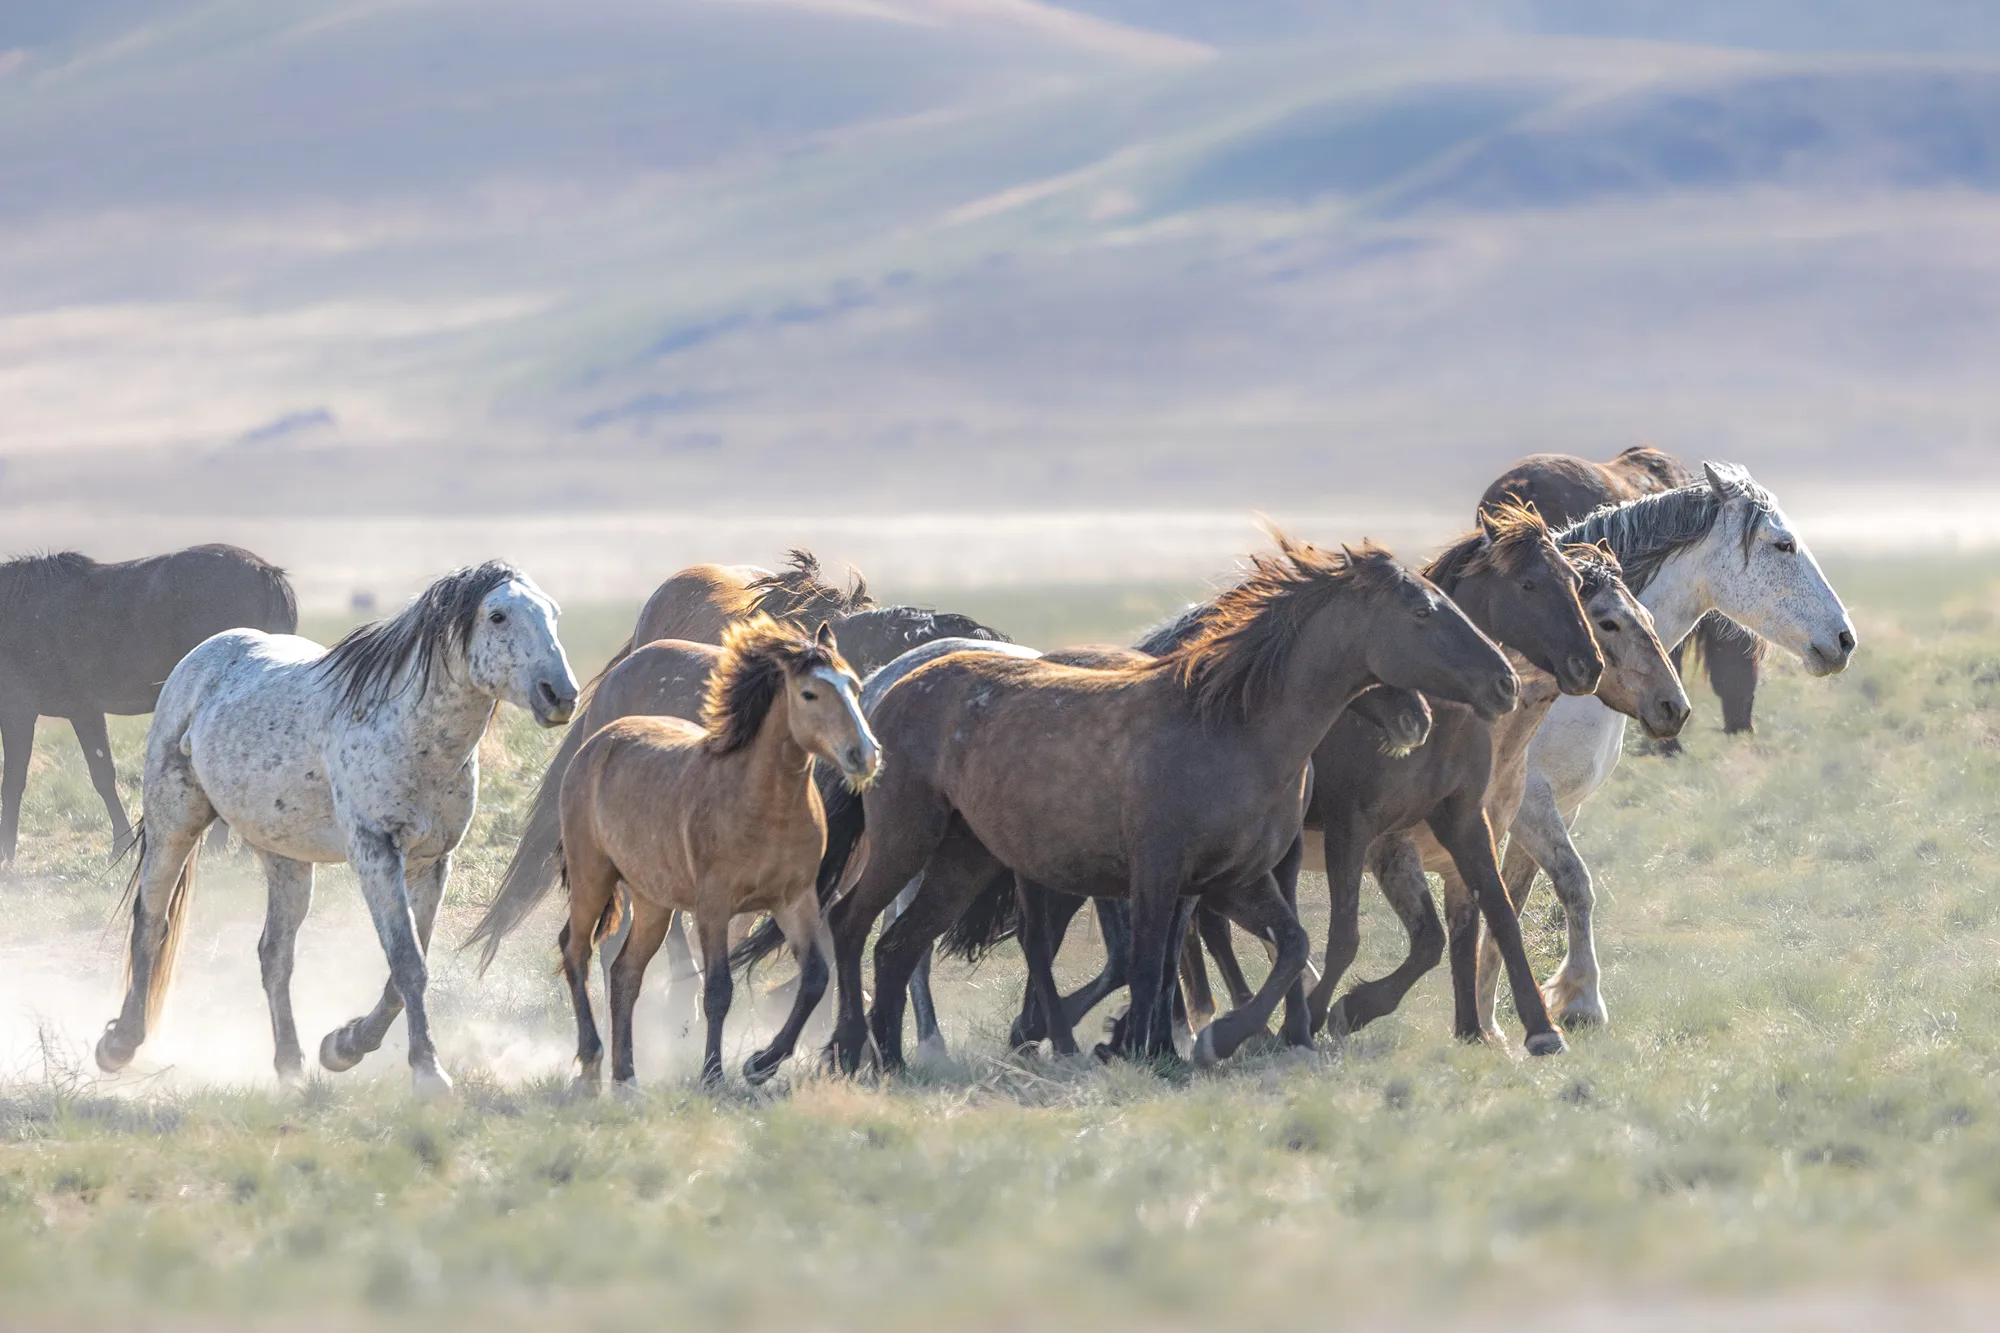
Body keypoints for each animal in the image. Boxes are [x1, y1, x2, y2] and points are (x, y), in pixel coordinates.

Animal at [94, 562, 578, 1097]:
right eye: (497, 616)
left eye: (554, 613)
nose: (561, 695)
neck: (407, 730)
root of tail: (202, 656)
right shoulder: (376, 854)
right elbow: (408, 963)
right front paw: (428, 1072)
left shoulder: (432, 864)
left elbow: (403, 972)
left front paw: (343, 1046)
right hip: (174, 824)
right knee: (150, 923)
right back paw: (120, 1045)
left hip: (285, 858)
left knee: (274, 954)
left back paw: (290, 1067)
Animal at [549, 619, 879, 1087]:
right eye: (809, 693)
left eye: (853, 685)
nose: (865, 754)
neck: (765, 802)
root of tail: (598, 741)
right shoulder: (714, 906)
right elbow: (718, 990)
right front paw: (713, 1074)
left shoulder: (795, 900)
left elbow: (815, 977)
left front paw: (761, 1063)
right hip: (592, 876)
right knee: (576, 951)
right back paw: (593, 1061)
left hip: (653, 902)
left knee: (625, 973)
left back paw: (627, 1076)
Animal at [824, 534, 1520, 1074]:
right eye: (1423, 610)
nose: (1505, 682)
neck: (1234, 728)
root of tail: (885, 689)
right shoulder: (1160, 873)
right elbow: (1151, 961)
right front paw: (1172, 1044)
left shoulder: (1235, 879)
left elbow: (1290, 945)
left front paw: (1217, 1039)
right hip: (907, 842)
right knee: (853, 926)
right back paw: (850, 1052)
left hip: (962, 860)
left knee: (897, 947)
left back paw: (894, 1060)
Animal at [1309, 540, 1688, 1044]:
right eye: (1609, 621)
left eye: (1646, 615)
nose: (1674, 707)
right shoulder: (1394, 845)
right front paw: (1580, 1003)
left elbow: (1487, 918)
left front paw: (1483, 1028)